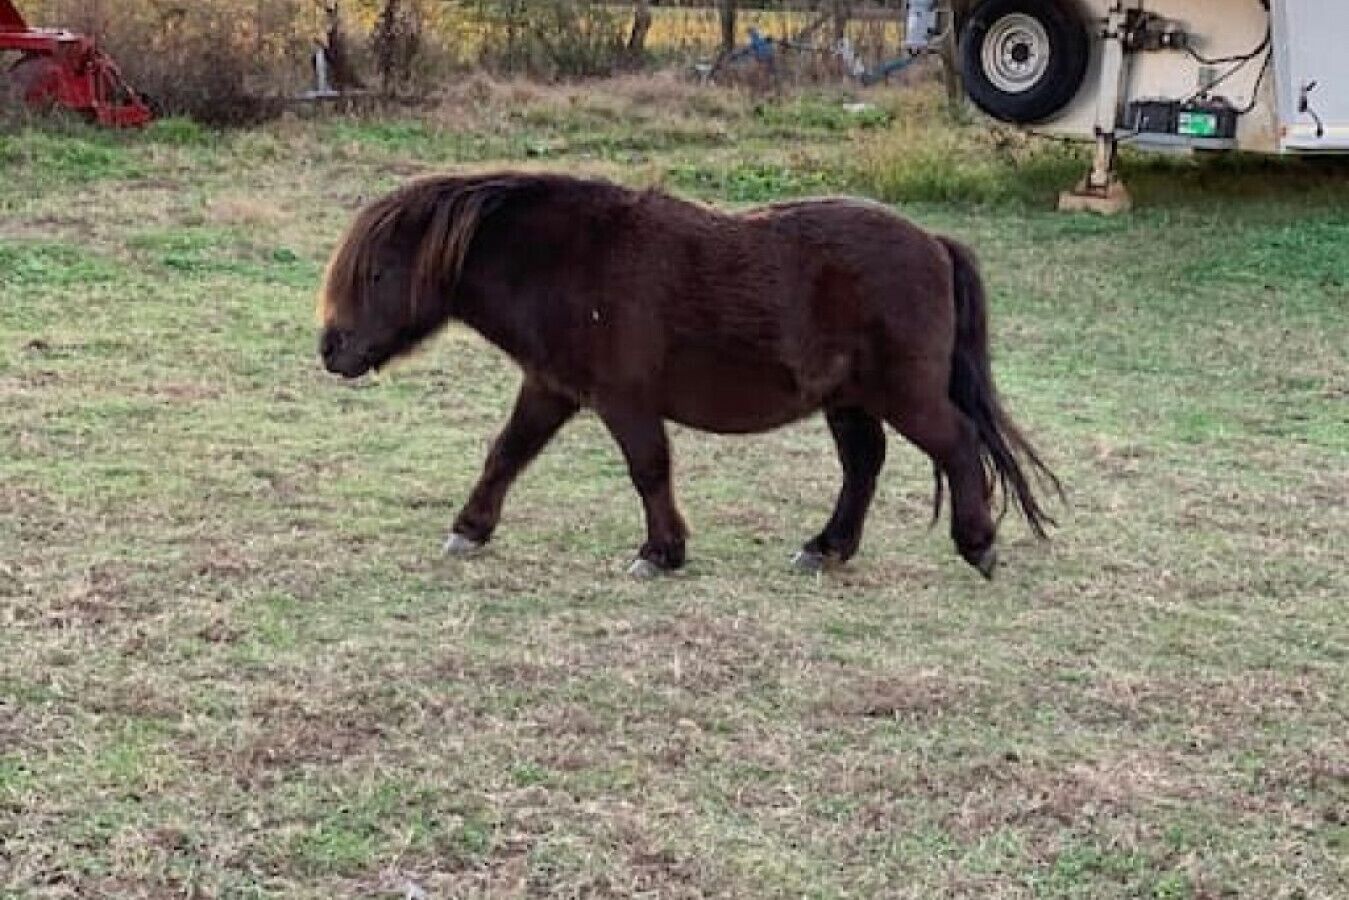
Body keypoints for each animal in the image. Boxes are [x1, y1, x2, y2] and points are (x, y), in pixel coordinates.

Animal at [317, 171, 1061, 578]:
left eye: (377, 273)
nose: (330, 349)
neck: (569, 265)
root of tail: (933, 243)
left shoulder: (623, 401)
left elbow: (648, 469)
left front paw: (660, 551)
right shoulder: (551, 389)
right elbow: (507, 454)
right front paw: (469, 530)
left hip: (903, 394)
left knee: (957, 444)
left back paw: (977, 544)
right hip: (850, 400)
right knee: (863, 465)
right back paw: (826, 547)